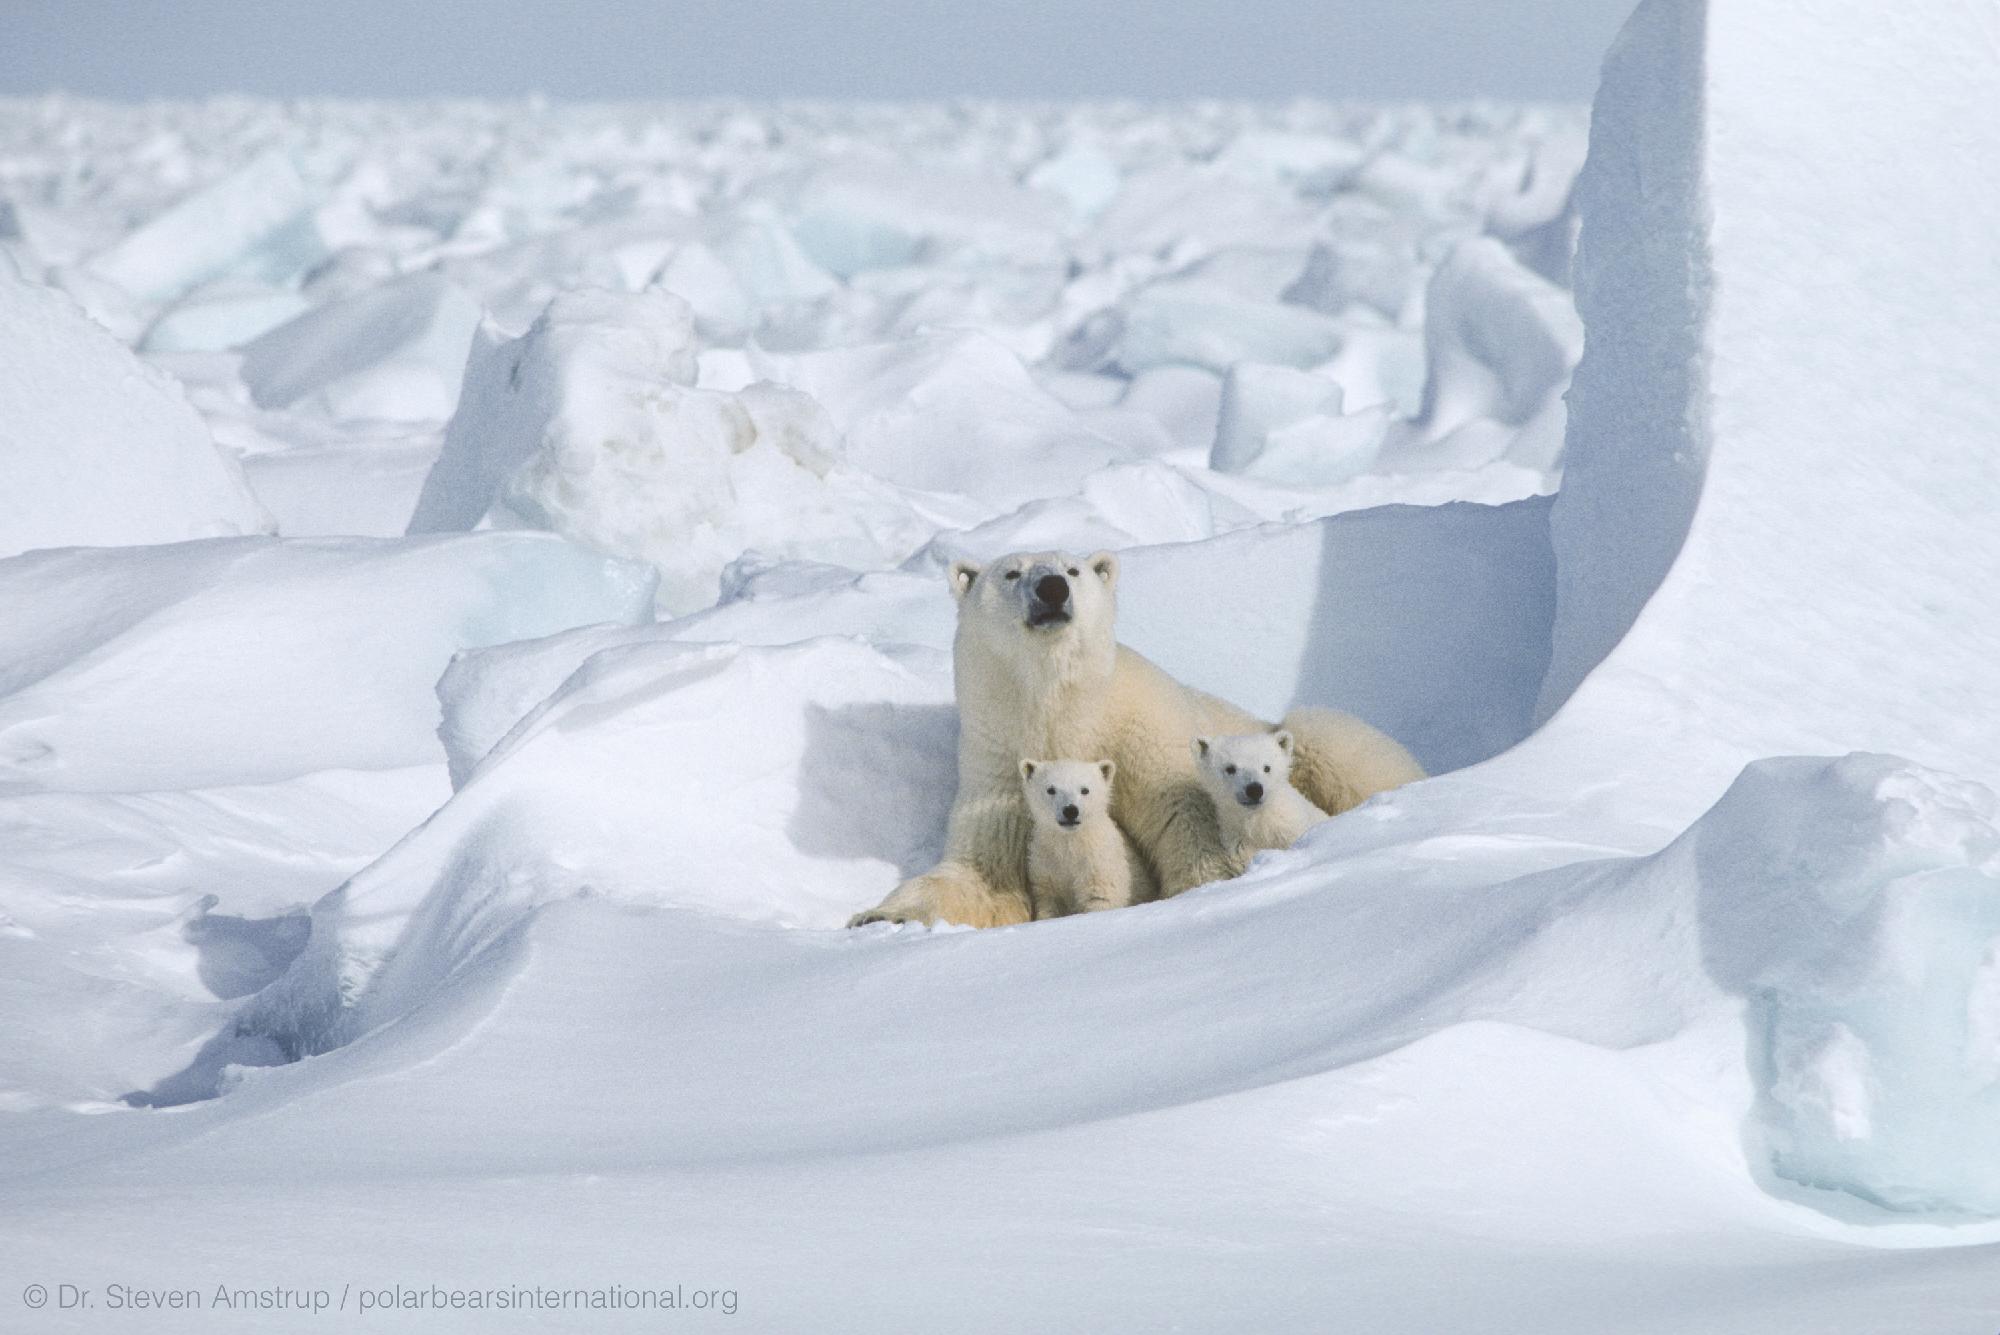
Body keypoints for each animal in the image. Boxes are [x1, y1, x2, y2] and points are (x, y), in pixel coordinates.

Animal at [1020, 757, 1158, 918]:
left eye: (1085, 790)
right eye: (1051, 789)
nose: (1070, 810)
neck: (1072, 842)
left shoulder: (1100, 865)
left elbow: (1101, 898)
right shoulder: (1046, 867)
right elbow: (1048, 904)